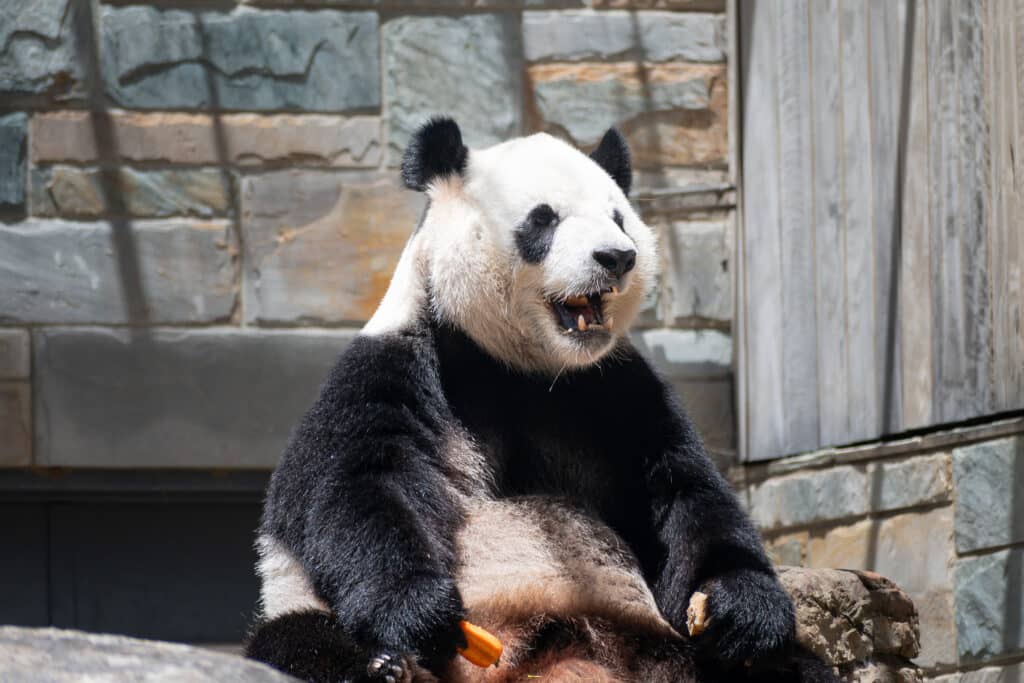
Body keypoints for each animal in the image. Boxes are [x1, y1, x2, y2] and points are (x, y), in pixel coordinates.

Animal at [244, 118, 835, 683]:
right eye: (543, 219)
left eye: (619, 218)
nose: (617, 257)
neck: (519, 365)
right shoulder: (394, 369)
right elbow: (360, 485)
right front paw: (421, 612)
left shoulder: (617, 390)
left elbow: (685, 495)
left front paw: (740, 611)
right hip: (303, 614)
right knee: (296, 641)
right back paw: (389, 667)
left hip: (657, 642)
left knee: (796, 668)